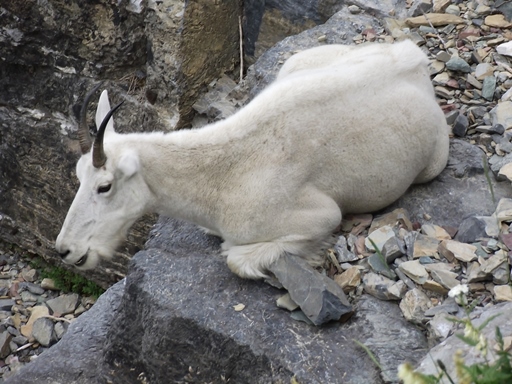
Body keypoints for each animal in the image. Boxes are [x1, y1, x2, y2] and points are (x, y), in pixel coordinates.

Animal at [56, 39, 448, 280]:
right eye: (77, 176)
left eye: (105, 186)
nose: (65, 250)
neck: (220, 174)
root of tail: (413, 57)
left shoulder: (319, 216)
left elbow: (234, 256)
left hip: (433, 162)